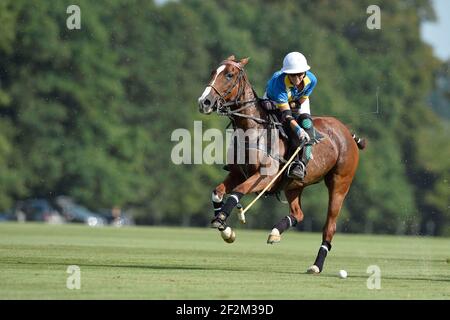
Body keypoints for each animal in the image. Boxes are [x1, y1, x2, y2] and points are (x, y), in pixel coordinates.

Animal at [197, 55, 366, 272]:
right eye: (213, 72)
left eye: (229, 75)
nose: (204, 102)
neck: (253, 129)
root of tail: (347, 132)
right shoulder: (237, 173)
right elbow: (217, 192)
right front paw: (226, 230)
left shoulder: (264, 177)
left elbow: (237, 192)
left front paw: (222, 222)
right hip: (294, 185)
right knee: (298, 213)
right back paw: (276, 231)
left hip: (340, 184)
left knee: (330, 226)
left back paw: (316, 265)